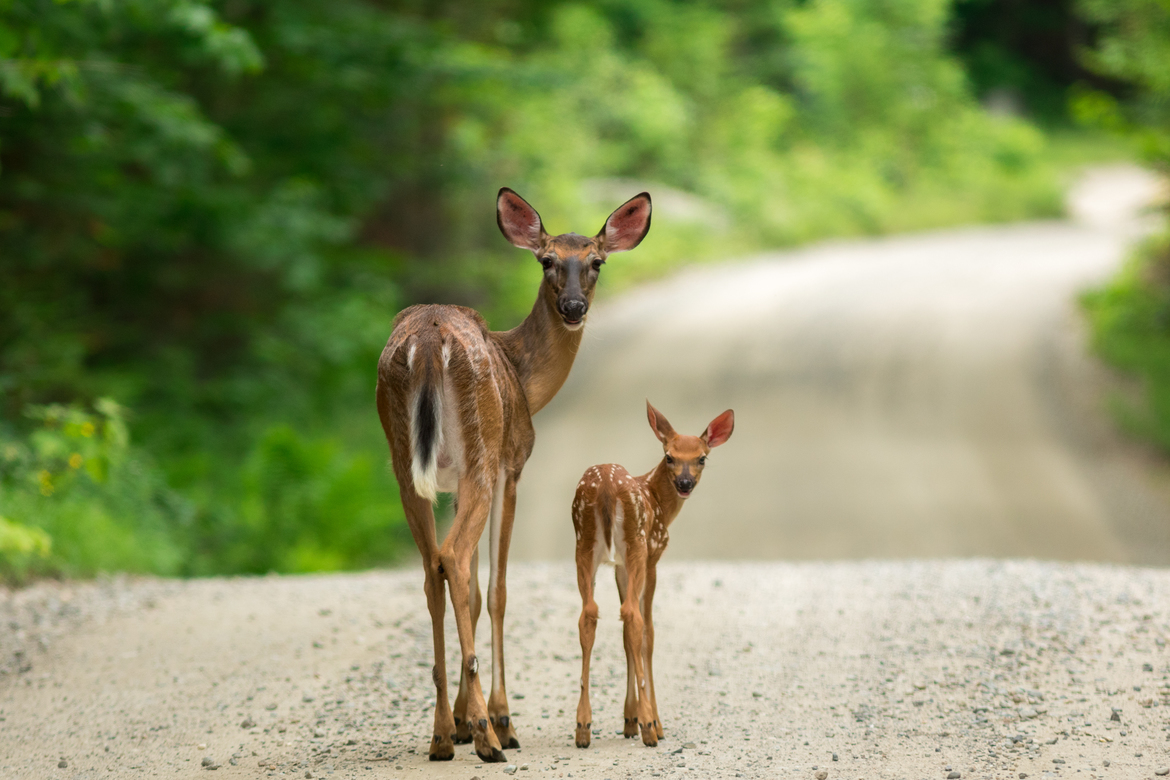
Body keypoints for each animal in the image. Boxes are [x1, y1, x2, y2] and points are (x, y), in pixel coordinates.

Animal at [375, 188, 652, 762]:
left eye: (596, 261)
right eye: (547, 260)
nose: (574, 307)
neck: (523, 377)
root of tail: (428, 342)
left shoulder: (451, 485)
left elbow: (474, 592)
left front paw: (461, 719)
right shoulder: (514, 464)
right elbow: (497, 589)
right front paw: (499, 718)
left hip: (403, 466)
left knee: (433, 568)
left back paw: (442, 733)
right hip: (481, 456)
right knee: (453, 558)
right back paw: (489, 733)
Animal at [571, 401, 735, 749]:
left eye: (701, 457)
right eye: (669, 456)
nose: (684, 484)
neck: (658, 501)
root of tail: (606, 486)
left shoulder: (619, 567)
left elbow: (624, 636)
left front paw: (628, 719)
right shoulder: (653, 558)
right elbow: (648, 634)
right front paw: (651, 721)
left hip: (584, 544)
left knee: (590, 614)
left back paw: (583, 726)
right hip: (637, 543)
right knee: (634, 616)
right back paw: (649, 727)